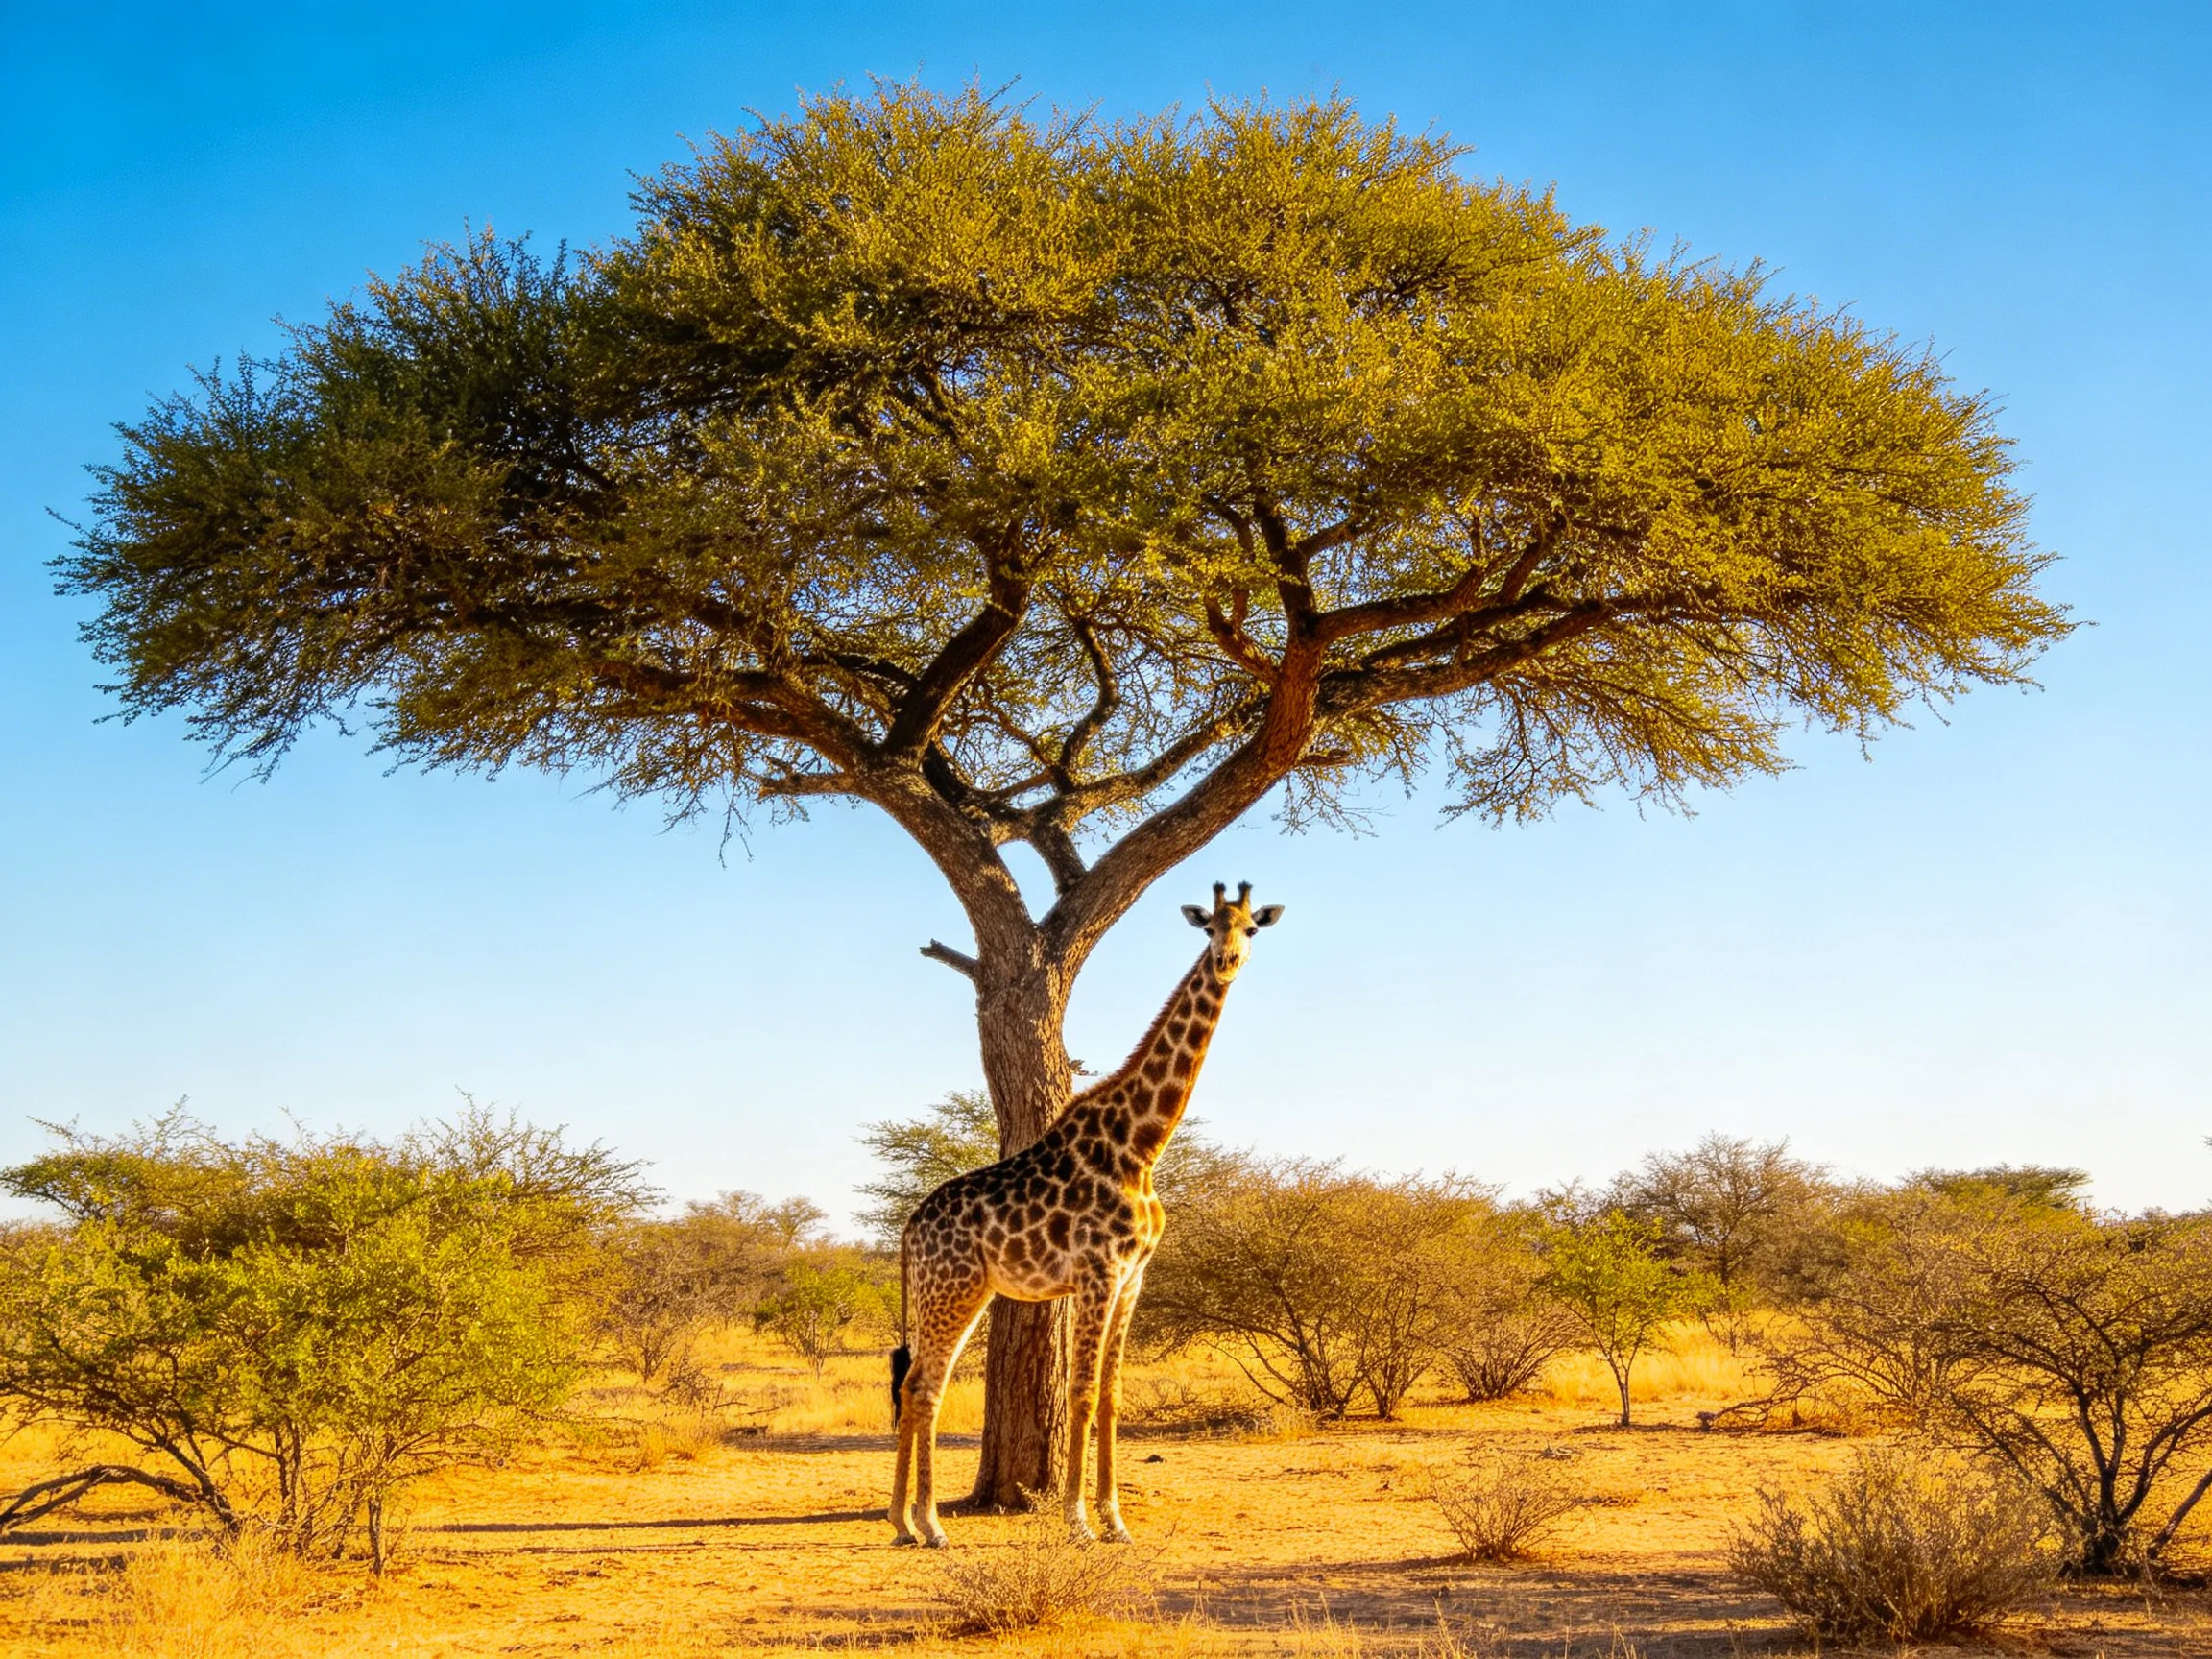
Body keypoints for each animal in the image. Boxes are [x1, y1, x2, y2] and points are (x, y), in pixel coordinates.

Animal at [888, 882, 1285, 1547]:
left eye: (1251, 928)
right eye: (1210, 928)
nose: (1228, 960)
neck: (1142, 1145)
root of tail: (910, 1230)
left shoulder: (1133, 1277)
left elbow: (1111, 1394)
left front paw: (1116, 1519)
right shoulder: (1098, 1271)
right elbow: (1079, 1391)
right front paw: (1078, 1520)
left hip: (955, 1291)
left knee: (920, 1384)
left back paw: (904, 1522)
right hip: (952, 1289)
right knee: (923, 1386)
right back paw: (930, 1524)